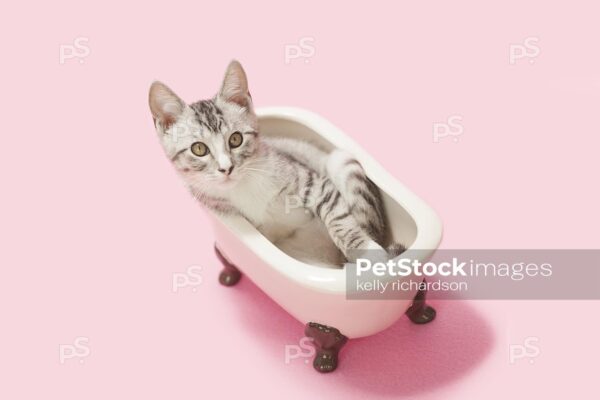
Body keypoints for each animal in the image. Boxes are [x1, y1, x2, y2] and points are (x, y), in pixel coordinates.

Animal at [150, 61, 404, 268]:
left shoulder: (314, 182)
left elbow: (339, 218)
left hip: (340, 159)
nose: (226, 168)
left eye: (235, 139)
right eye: (199, 149)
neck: (243, 186)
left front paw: (367, 252)